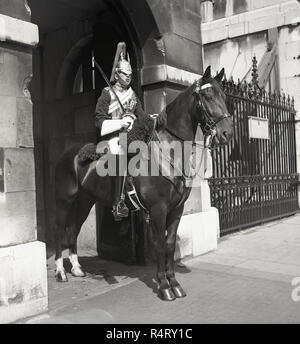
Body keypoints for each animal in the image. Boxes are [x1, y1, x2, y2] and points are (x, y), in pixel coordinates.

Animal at [54, 66, 233, 300]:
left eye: (224, 96)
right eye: (208, 96)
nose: (227, 133)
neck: (169, 153)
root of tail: (69, 153)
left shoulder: (176, 210)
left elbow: (169, 244)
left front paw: (174, 284)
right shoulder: (158, 209)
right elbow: (159, 245)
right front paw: (164, 287)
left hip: (85, 201)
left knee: (73, 228)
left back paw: (76, 268)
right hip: (65, 200)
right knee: (60, 230)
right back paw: (60, 271)